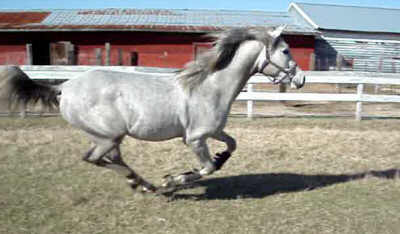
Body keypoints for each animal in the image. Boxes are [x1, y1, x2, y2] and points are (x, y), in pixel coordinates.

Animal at [7, 25, 304, 195]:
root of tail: (64, 87)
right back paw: (144, 183)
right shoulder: (196, 138)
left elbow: (231, 146)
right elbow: (206, 167)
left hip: (107, 138)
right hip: (107, 137)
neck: (209, 86)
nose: (300, 79)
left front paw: (219, 158)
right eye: (286, 51)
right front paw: (174, 179)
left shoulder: (213, 131)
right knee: (94, 158)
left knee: (110, 159)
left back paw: (142, 183)